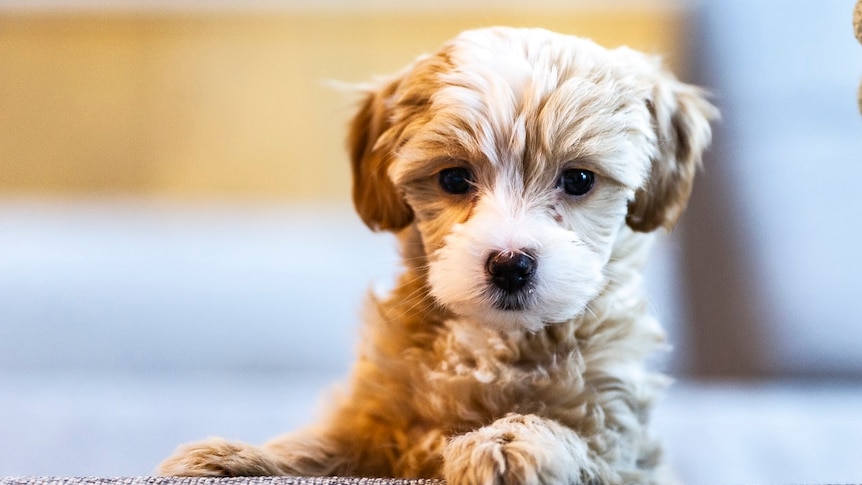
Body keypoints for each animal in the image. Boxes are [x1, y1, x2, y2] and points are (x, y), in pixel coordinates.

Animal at [159, 27, 720, 484]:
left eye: (579, 179)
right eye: (453, 179)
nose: (511, 264)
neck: (494, 342)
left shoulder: (623, 442)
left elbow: (573, 438)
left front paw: (507, 441)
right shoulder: (378, 417)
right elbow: (324, 444)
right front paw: (236, 457)